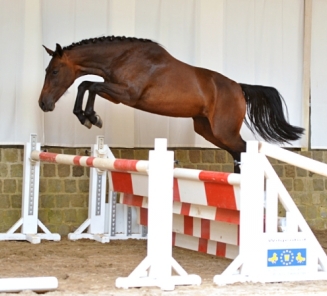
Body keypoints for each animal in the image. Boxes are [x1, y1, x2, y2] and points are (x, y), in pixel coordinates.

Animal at [39, 36, 304, 173]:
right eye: (47, 70)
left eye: (54, 71)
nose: (44, 104)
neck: (123, 57)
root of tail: (239, 87)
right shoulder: (116, 94)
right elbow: (86, 85)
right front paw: (86, 116)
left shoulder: (127, 94)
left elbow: (89, 85)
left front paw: (91, 117)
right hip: (208, 130)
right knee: (238, 153)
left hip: (224, 131)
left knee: (242, 150)